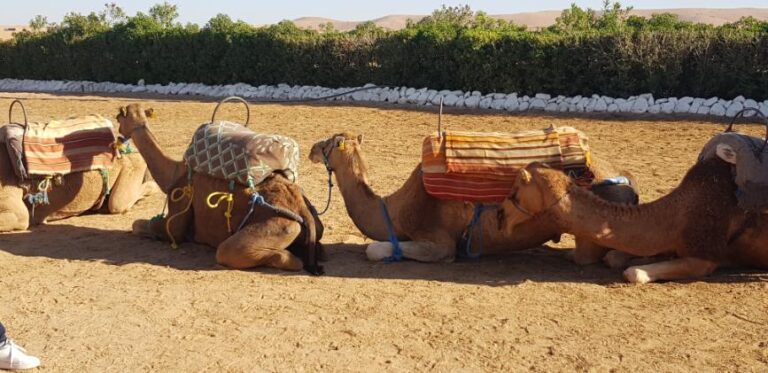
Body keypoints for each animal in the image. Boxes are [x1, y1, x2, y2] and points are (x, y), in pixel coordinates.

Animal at [115, 104, 322, 274]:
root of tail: (301, 208)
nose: (119, 135)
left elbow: (147, 226)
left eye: (119, 117)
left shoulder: (179, 201)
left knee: (227, 252)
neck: (173, 172)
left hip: (281, 226)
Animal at [306, 132, 636, 264]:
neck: (396, 209)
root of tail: (625, 179)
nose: (311, 148)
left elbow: (374, 249)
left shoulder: (439, 240)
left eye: (330, 142)